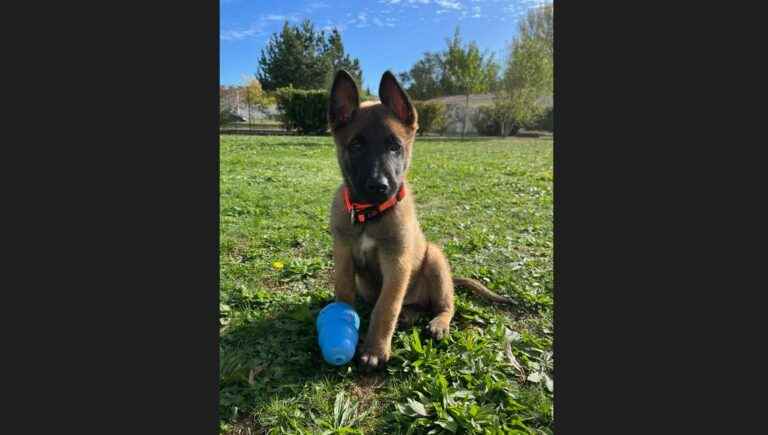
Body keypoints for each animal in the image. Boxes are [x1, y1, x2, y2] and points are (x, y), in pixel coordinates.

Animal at [326, 70, 510, 370]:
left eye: (394, 146)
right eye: (356, 146)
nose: (379, 186)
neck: (370, 214)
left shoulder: (397, 262)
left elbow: (387, 307)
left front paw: (376, 349)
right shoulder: (343, 255)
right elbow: (344, 293)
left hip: (434, 258)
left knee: (444, 305)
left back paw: (438, 323)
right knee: (413, 306)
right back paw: (410, 315)